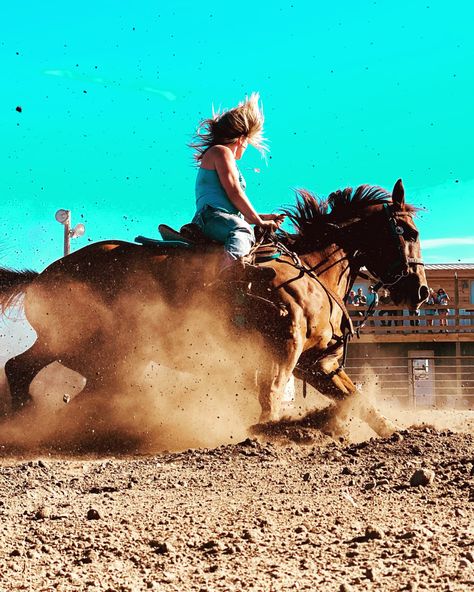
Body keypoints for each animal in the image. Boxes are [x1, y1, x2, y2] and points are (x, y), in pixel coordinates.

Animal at [0, 179, 428, 434]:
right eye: (409, 232)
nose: (421, 291)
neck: (308, 271)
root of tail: (41, 277)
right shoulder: (283, 351)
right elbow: (272, 395)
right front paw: (264, 433)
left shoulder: (318, 364)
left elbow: (359, 401)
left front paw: (396, 434)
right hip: (87, 348)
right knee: (31, 372)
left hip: (91, 354)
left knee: (26, 372)